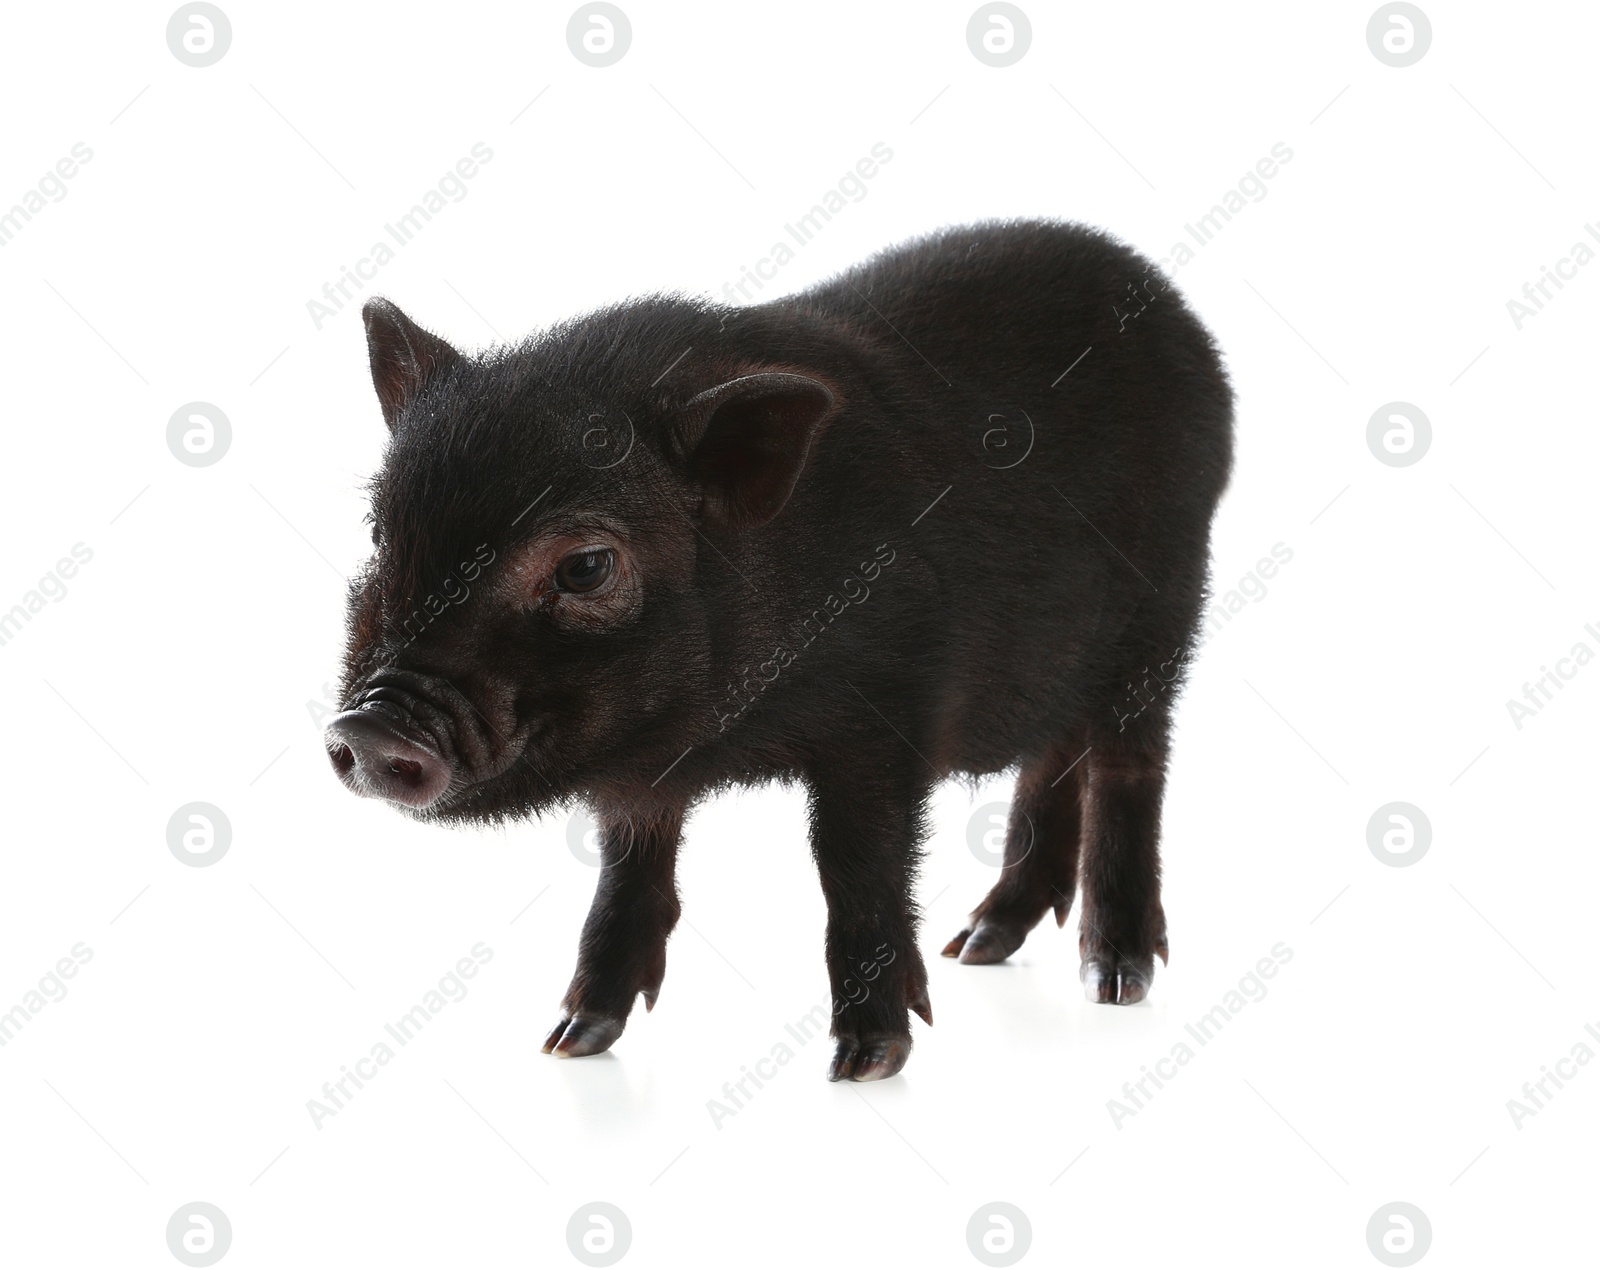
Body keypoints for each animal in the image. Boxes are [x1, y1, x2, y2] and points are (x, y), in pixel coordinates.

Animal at [321, 220, 1222, 1081]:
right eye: (381, 534)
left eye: (585, 567)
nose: (371, 726)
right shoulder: (641, 768)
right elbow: (630, 868)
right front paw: (573, 1040)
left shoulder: (887, 712)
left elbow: (855, 867)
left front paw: (867, 1062)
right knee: (1053, 755)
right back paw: (978, 945)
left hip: (1164, 617)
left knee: (1129, 768)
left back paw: (1113, 980)